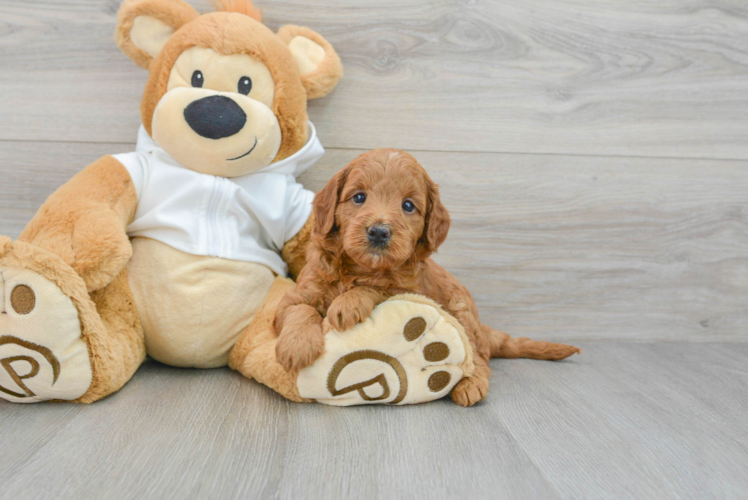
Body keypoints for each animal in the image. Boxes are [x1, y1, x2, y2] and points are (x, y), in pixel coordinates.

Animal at [274, 148, 580, 406]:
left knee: (478, 357)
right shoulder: (297, 293)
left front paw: (348, 303)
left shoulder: (409, 290)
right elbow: (299, 309)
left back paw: (470, 384)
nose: (379, 231)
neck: (361, 268)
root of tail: (484, 329)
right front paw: (296, 346)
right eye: (359, 197)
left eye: (408, 206)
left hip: (462, 311)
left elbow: (378, 289)